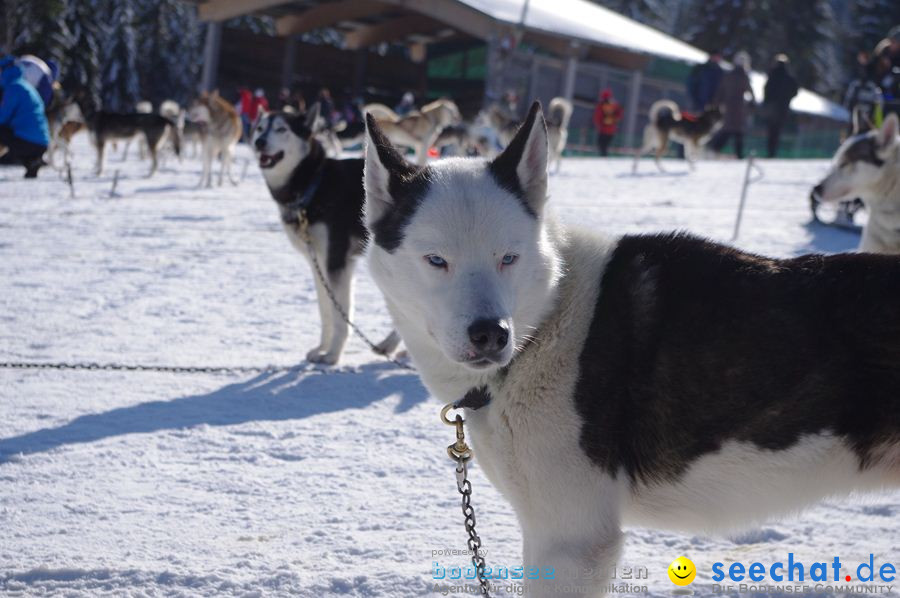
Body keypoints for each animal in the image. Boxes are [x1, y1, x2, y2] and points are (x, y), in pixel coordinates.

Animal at [250, 104, 398, 366]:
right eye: (259, 127)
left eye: (281, 129)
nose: (259, 142)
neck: (313, 184)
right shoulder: (318, 262)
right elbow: (326, 311)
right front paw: (321, 348)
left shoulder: (337, 261)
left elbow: (341, 317)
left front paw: (332, 354)